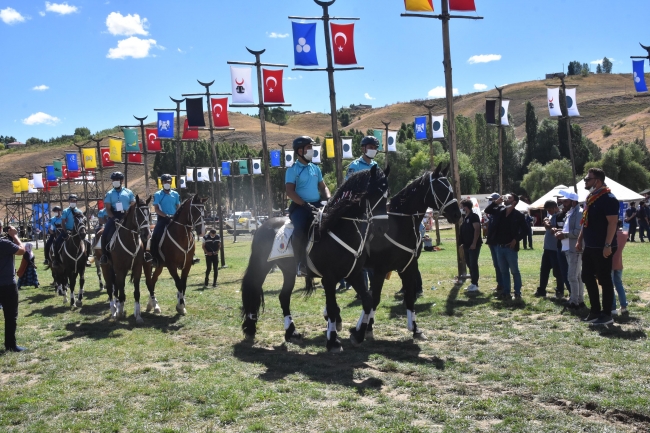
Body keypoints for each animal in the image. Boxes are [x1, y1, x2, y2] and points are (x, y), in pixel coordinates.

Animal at [100, 194, 157, 322]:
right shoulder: (119, 269)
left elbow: (136, 292)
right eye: (139, 215)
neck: (129, 240)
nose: (146, 234)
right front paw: (119, 312)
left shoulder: (137, 268)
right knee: (111, 288)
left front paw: (138, 316)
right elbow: (120, 290)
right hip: (106, 268)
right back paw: (114, 311)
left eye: (149, 214)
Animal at [240, 165, 388, 352]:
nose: (383, 228)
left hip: (288, 271)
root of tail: (263, 225)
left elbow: (368, 301)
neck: (340, 229)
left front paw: (357, 335)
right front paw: (333, 341)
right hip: (262, 267)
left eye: (387, 195)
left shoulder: (353, 274)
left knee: (284, 297)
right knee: (254, 288)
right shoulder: (329, 279)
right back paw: (250, 328)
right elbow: (331, 308)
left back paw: (292, 333)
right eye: (376, 194)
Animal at [350, 165, 460, 344]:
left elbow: (409, 297)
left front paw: (415, 330)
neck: (399, 225)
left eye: (450, 188)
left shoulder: (408, 267)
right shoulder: (380, 270)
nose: (458, 214)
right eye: (441, 189)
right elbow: (375, 298)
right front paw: (367, 328)